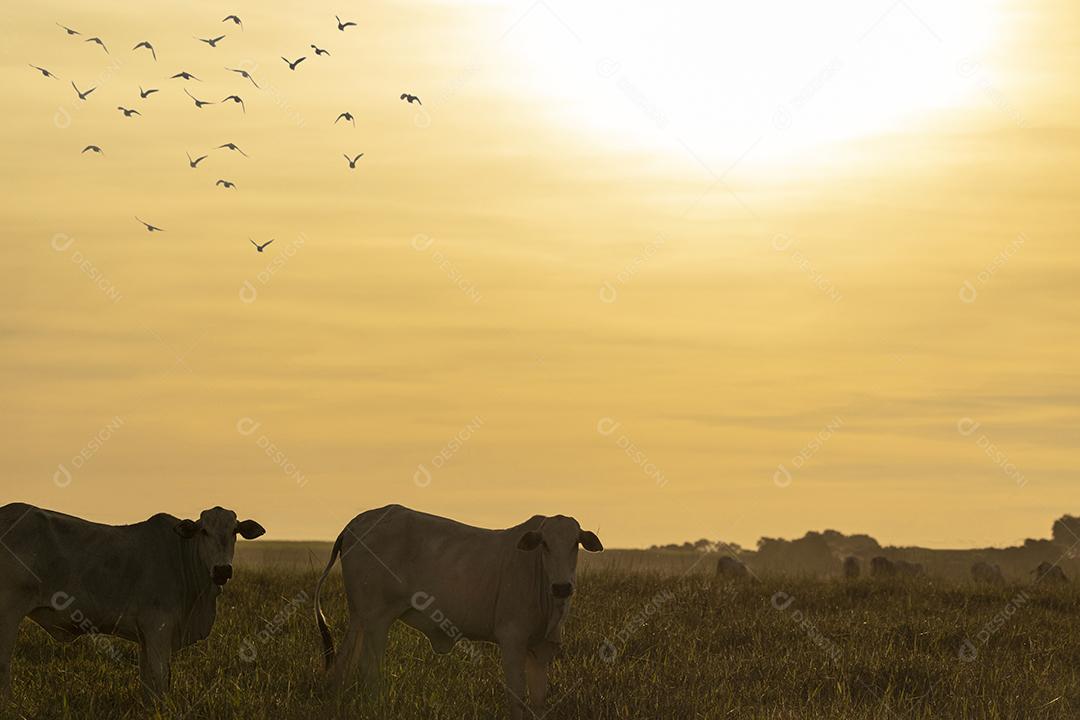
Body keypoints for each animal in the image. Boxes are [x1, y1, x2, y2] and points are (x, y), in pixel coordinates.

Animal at [0, 505, 265, 699]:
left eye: (234, 531)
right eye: (204, 531)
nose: (222, 570)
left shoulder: (146, 636)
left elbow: (148, 681)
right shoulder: (158, 627)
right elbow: (160, 678)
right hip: (9, 613)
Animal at [313, 507, 604, 720]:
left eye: (575, 543)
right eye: (545, 544)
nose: (562, 587)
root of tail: (356, 524)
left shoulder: (541, 649)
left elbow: (538, 701)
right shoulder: (512, 640)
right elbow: (517, 698)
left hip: (360, 618)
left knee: (343, 663)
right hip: (377, 619)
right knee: (369, 669)